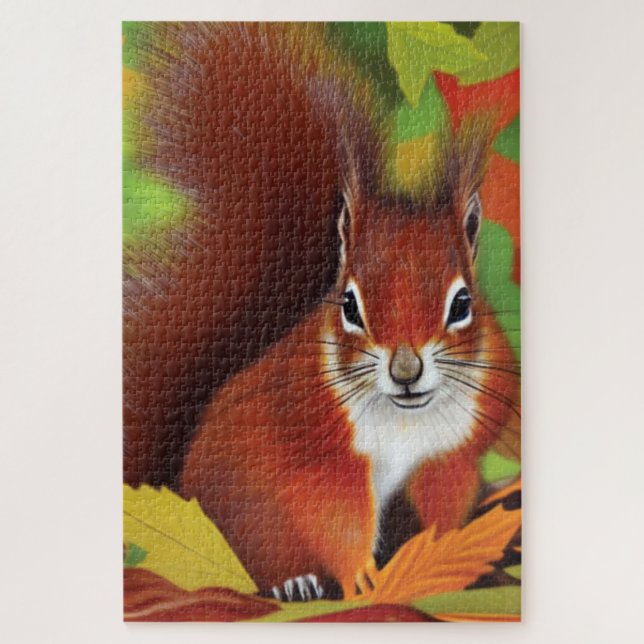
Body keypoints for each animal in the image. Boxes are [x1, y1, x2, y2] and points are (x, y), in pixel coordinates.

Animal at [124, 23, 520, 600]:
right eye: (349, 305)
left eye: (463, 303)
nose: (406, 371)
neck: (405, 420)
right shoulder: (320, 452)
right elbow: (335, 519)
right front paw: (362, 579)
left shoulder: (451, 455)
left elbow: (444, 507)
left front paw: (445, 556)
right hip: (249, 516)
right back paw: (295, 583)